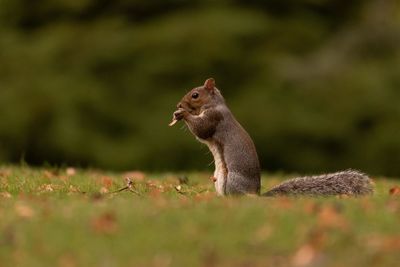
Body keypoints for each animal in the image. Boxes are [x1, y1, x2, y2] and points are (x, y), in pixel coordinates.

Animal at [170, 78, 376, 197]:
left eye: (195, 95)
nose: (179, 104)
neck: (214, 104)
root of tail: (256, 195)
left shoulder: (215, 119)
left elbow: (202, 130)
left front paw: (183, 114)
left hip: (233, 181)